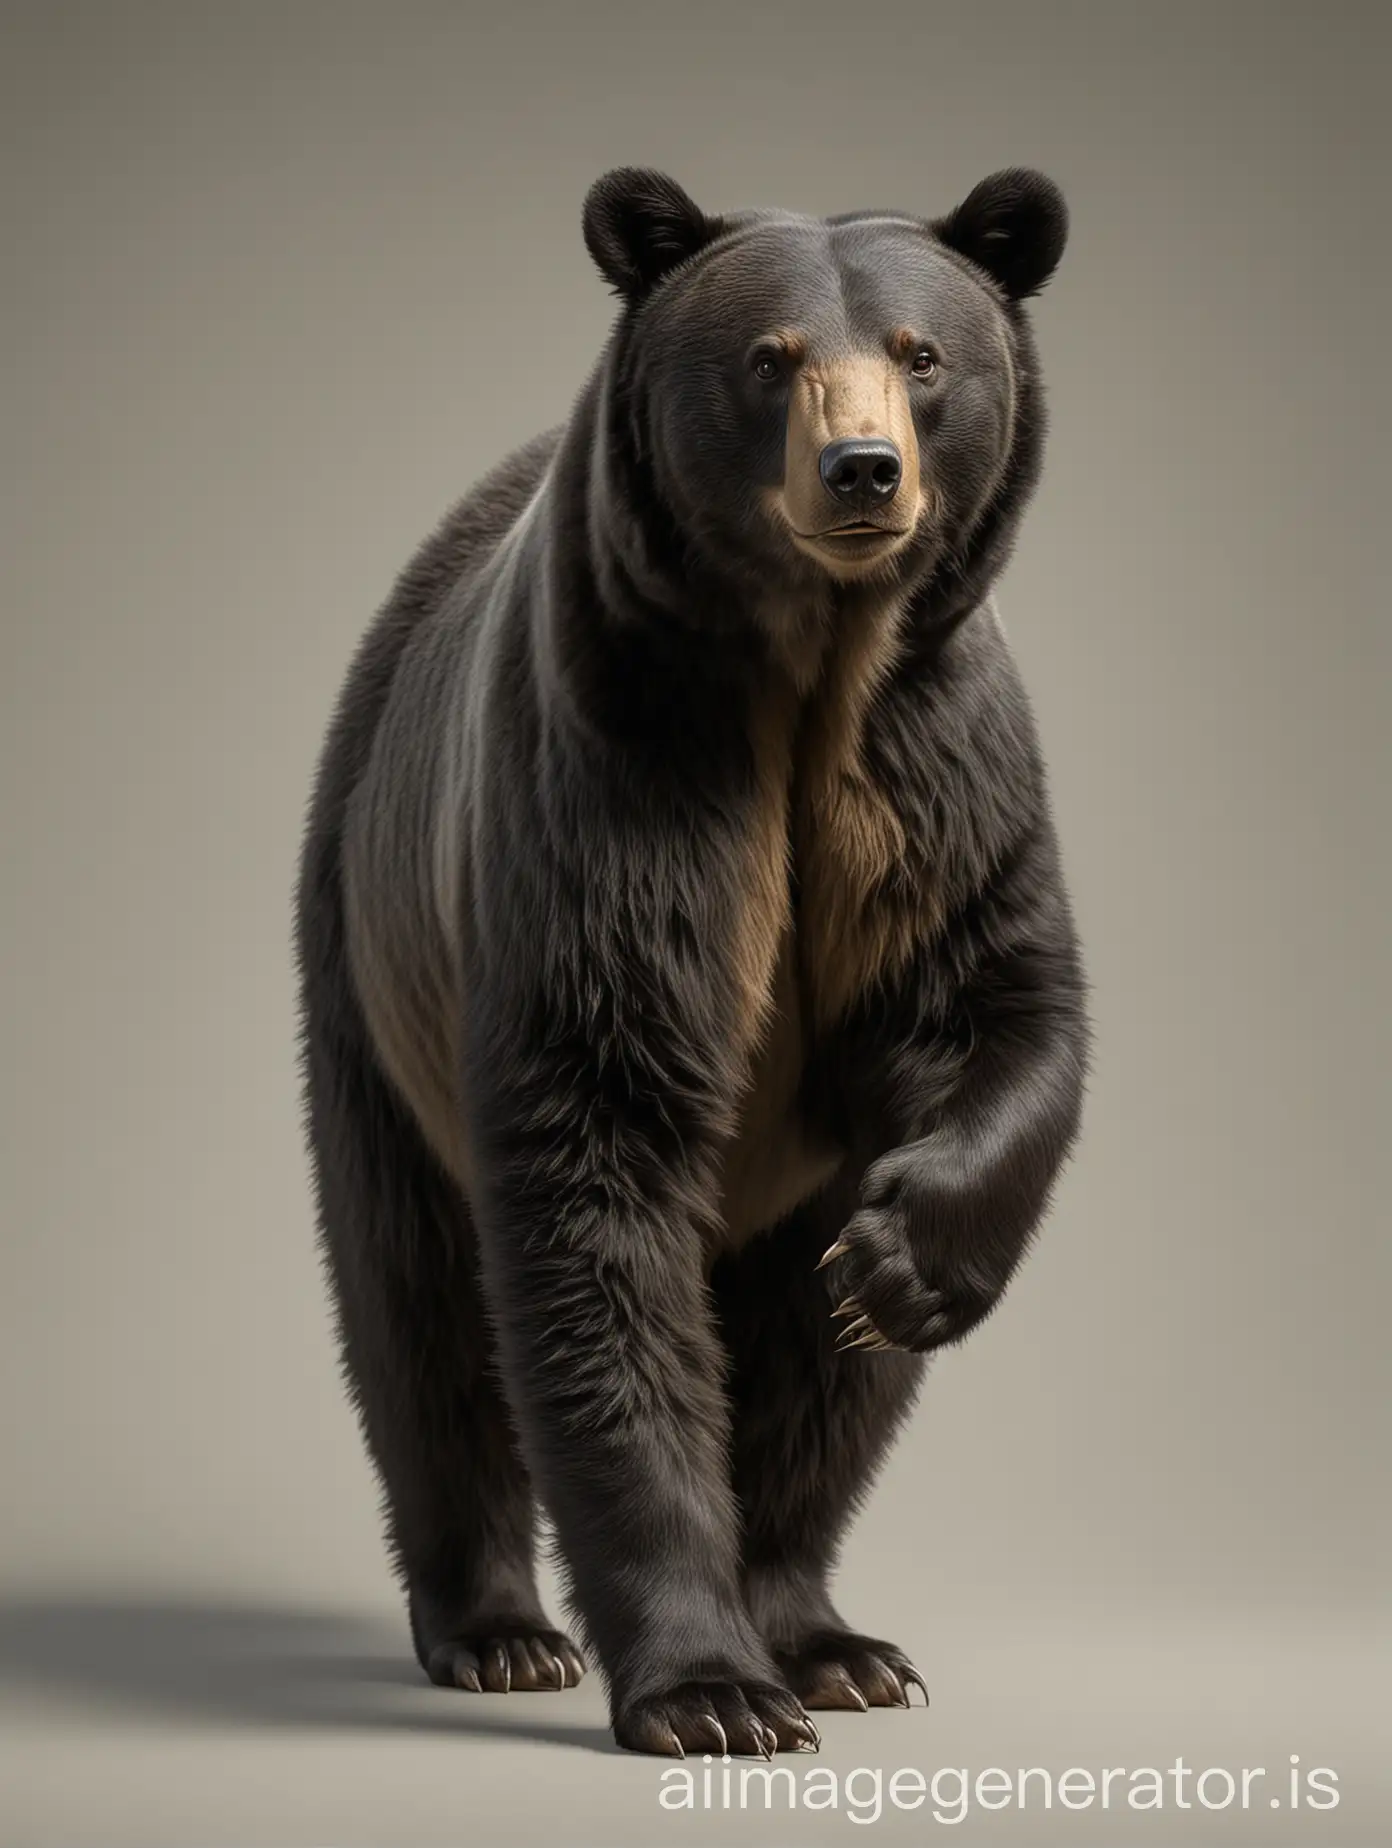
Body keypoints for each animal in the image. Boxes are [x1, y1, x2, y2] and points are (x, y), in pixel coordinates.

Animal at [295, 166, 1094, 1751]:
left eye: (923, 353)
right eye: (769, 356)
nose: (862, 472)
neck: (807, 677)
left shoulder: (930, 783)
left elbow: (1006, 1007)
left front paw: (906, 1264)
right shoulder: (625, 778)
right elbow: (591, 1178)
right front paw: (707, 1691)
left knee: (817, 1381)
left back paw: (833, 1638)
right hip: (363, 966)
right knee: (417, 1314)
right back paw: (498, 1628)